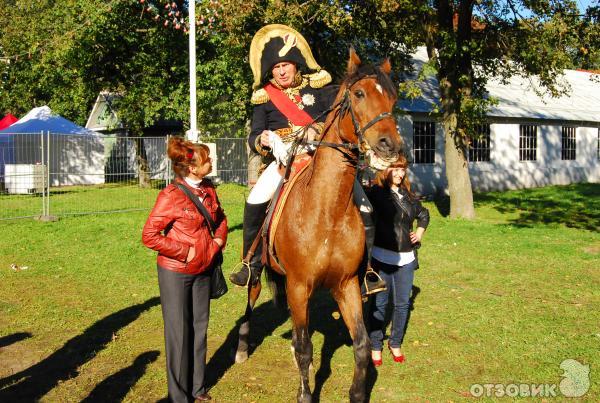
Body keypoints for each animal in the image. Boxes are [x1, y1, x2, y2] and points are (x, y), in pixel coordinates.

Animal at [234, 50, 404, 403]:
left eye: (393, 97)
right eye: (359, 93)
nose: (389, 145)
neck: (328, 212)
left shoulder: (347, 286)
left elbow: (361, 345)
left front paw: (357, 393)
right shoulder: (299, 285)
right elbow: (304, 347)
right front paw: (305, 393)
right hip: (257, 266)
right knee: (251, 294)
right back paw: (242, 347)